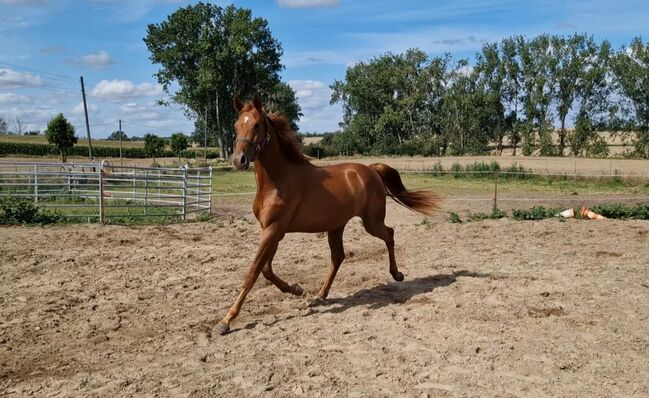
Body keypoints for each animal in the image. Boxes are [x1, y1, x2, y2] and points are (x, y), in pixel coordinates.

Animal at [215, 95, 438, 334]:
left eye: (257, 124)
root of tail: (371, 169)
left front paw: (226, 321)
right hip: (336, 225)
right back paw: (320, 295)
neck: (277, 182)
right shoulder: (272, 231)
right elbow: (266, 270)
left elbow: (252, 272)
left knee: (389, 234)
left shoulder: (273, 230)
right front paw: (297, 289)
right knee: (338, 257)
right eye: (236, 125)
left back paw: (397, 274)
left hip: (371, 222)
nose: (239, 160)